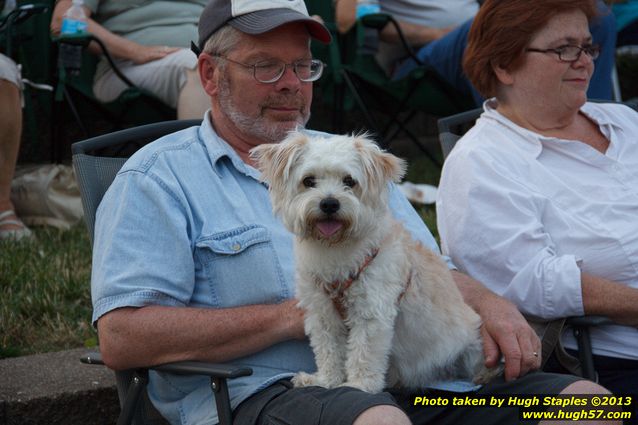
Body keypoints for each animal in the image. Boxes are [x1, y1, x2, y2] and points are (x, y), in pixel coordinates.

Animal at [252, 131, 502, 392]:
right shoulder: (322, 313)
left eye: (349, 181)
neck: (336, 250)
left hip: (473, 344)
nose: (329, 203)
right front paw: (326, 381)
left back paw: (485, 374)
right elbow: (329, 351)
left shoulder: (371, 311)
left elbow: (363, 353)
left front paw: (358, 385)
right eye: (308, 181)